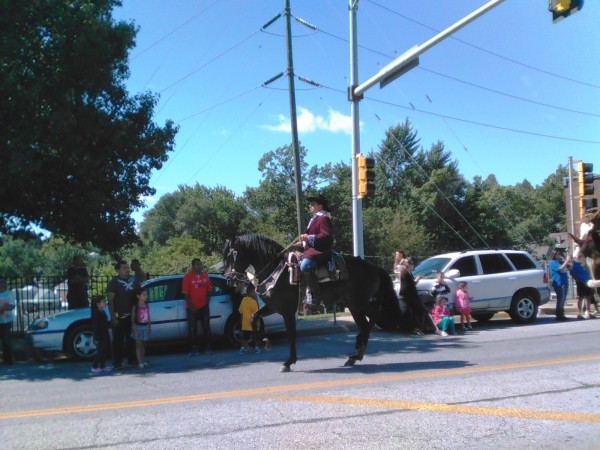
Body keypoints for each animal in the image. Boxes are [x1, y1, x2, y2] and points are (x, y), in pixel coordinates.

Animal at [221, 234, 404, 370]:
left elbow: (291, 334)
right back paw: (355, 355)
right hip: (353, 305)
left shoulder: (288, 310)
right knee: (364, 324)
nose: (230, 280)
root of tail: (375, 268)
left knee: (374, 315)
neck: (277, 271)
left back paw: (357, 349)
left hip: (360, 302)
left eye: (232, 255)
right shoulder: (273, 307)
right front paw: (263, 343)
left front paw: (288, 362)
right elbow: (253, 318)